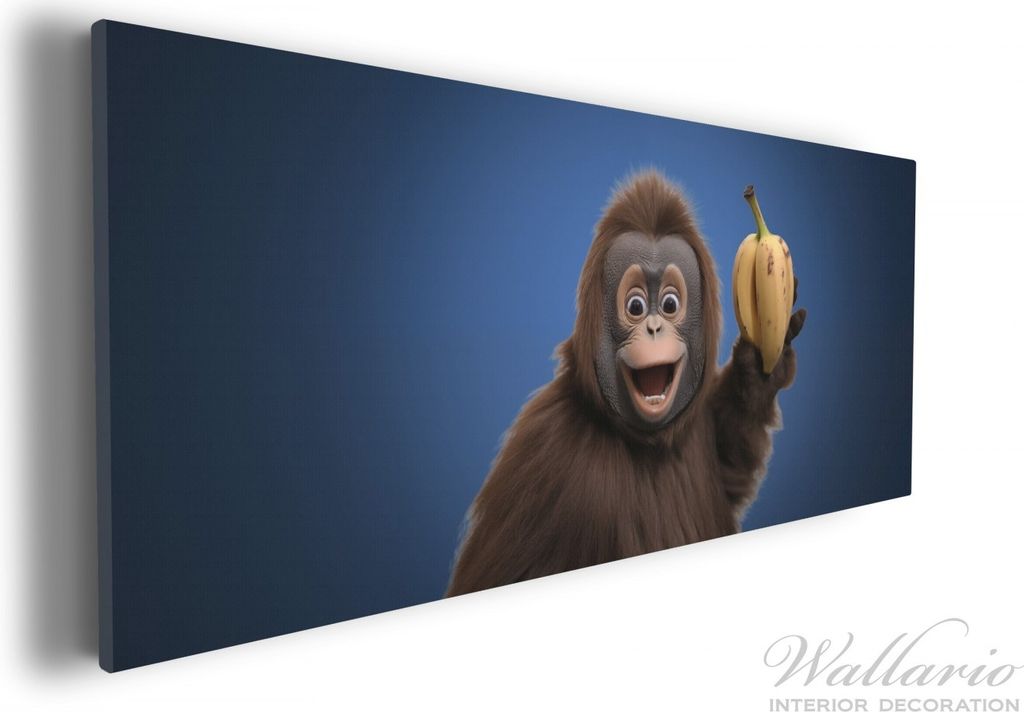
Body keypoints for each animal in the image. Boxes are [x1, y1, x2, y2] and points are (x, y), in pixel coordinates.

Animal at [445, 170, 806, 597]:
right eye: (635, 306)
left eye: (669, 304)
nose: (653, 327)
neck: (645, 446)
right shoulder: (541, 448)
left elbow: (732, 463)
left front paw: (761, 363)